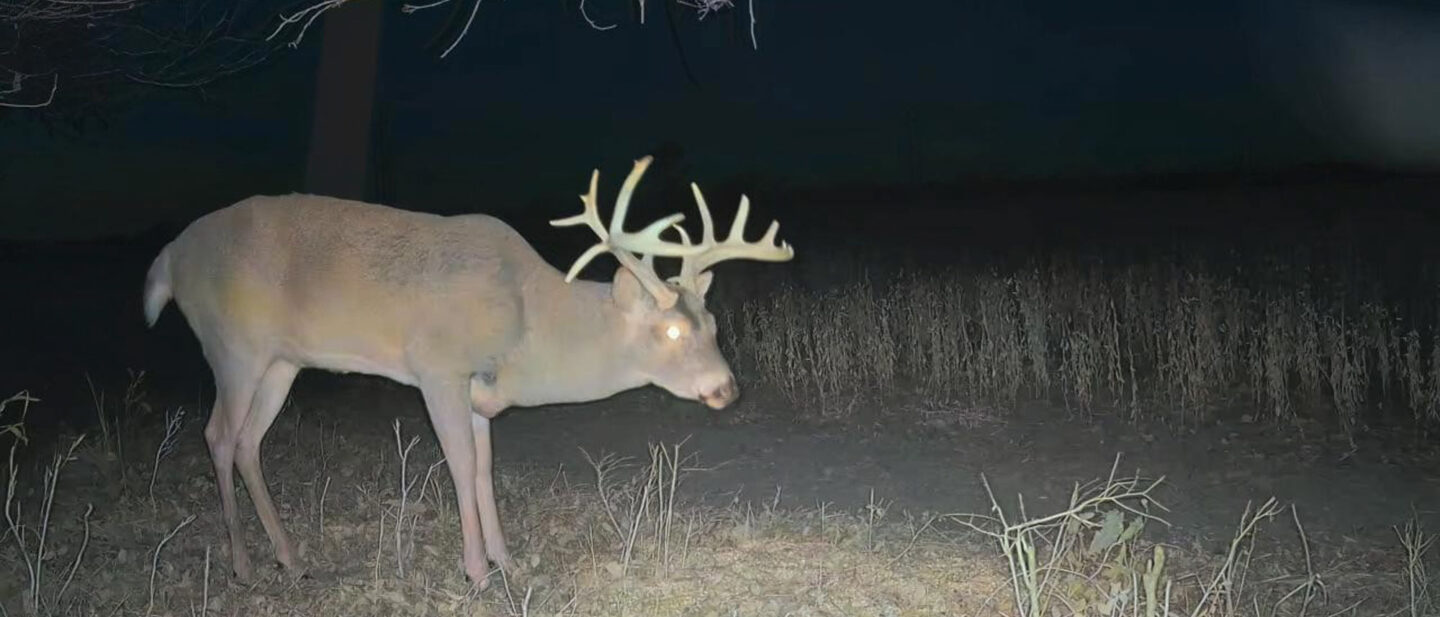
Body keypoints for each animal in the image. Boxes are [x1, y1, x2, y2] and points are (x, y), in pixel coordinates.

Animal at [141, 155, 794, 587]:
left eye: (713, 325)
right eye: (674, 332)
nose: (725, 389)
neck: (528, 324)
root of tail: (169, 258)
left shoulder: (482, 393)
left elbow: (483, 468)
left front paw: (507, 559)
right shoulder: (438, 368)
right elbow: (456, 465)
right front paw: (476, 571)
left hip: (282, 361)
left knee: (249, 441)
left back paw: (290, 556)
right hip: (234, 347)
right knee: (218, 435)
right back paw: (243, 564)